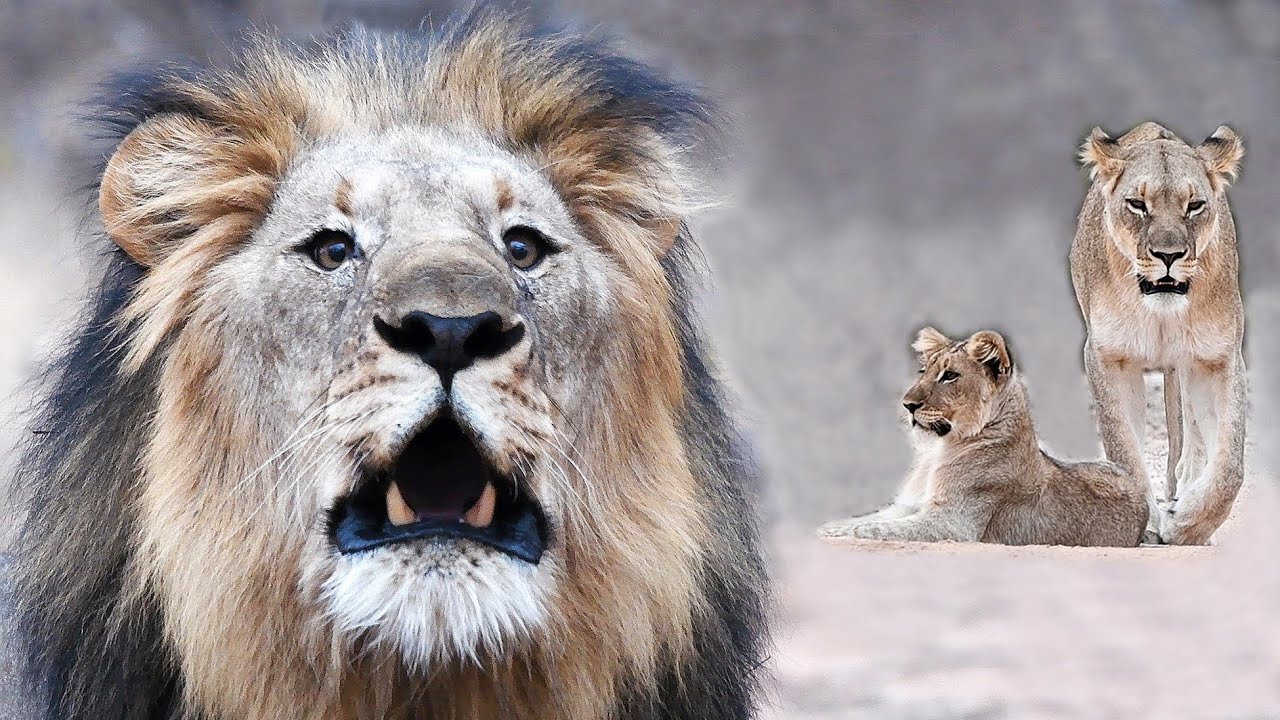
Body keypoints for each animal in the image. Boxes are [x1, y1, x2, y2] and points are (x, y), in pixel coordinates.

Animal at [818, 328, 1148, 547]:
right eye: (923, 371)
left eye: (950, 376)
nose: (907, 404)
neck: (937, 450)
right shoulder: (906, 507)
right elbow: (865, 520)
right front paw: (830, 524)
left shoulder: (953, 524)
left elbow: (876, 530)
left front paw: (829, 533)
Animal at [1072, 121, 1247, 545]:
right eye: (1138, 204)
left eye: (1194, 205)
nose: (1169, 256)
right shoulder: (1108, 357)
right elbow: (1124, 447)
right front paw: (1147, 524)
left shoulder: (1217, 357)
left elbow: (1230, 465)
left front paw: (1186, 525)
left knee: (1192, 435)